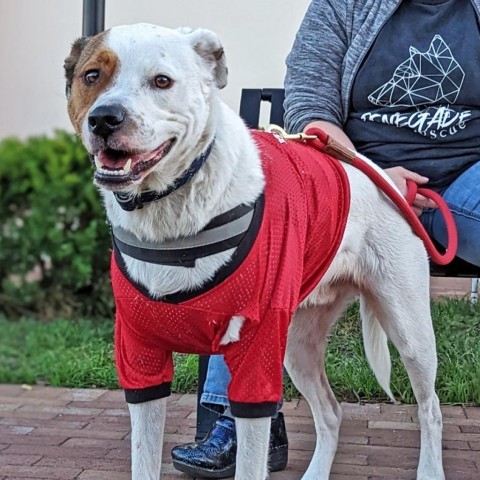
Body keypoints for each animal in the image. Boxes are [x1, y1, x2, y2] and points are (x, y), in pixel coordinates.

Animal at [64, 23, 446, 480]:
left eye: (161, 81)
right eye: (91, 76)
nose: (105, 118)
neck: (172, 212)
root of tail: (385, 178)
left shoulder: (255, 359)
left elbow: (250, 459)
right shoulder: (141, 357)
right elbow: (144, 456)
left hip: (408, 327)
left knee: (430, 408)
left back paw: (430, 468)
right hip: (299, 345)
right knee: (332, 413)